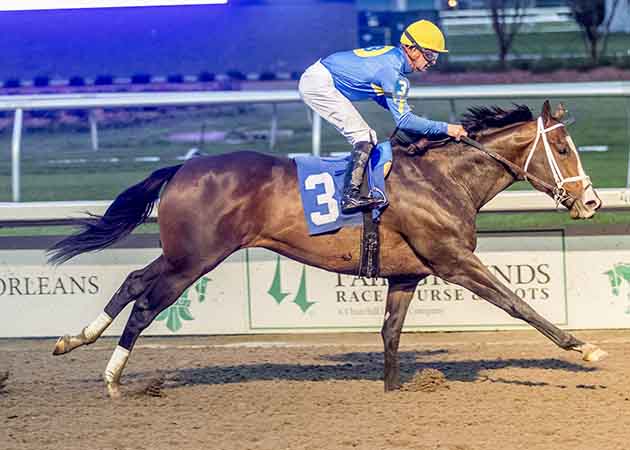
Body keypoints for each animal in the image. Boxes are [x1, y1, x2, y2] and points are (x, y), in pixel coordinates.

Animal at [48, 101, 608, 398]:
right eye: (562, 149)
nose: (592, 201)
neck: (442, 178)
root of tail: (182, 167)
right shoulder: (453, 260)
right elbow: (517, 303)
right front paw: (584, 348)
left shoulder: (407, 274)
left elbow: (390, 333)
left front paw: (392, 391)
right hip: (196, 257)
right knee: (147, 302)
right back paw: (112, 377)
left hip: (183, 253)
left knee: (133, 282)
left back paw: (73, 341)